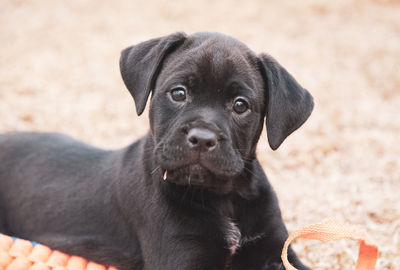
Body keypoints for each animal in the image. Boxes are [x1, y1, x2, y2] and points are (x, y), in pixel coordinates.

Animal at [0, 32, 312, 270]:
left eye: (240, 105)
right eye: (178, 93)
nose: (202, 138)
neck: (222, 197)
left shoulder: (277, 251)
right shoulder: (181, 255)